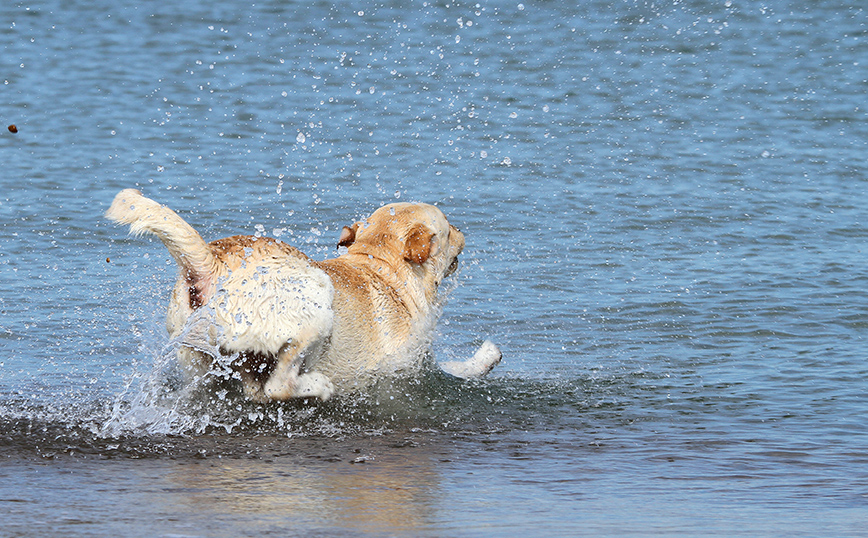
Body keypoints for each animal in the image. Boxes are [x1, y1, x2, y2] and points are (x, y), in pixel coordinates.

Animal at [108, 186, 502, 400]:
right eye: (449, 228)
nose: (463, 230)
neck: (381, 264)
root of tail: (211, 263)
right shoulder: (404, 369)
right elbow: (459, 370)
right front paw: (487, 356)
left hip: (200, 361)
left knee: (251, 390)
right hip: (316, 303)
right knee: (276, 387)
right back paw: (317, 385)